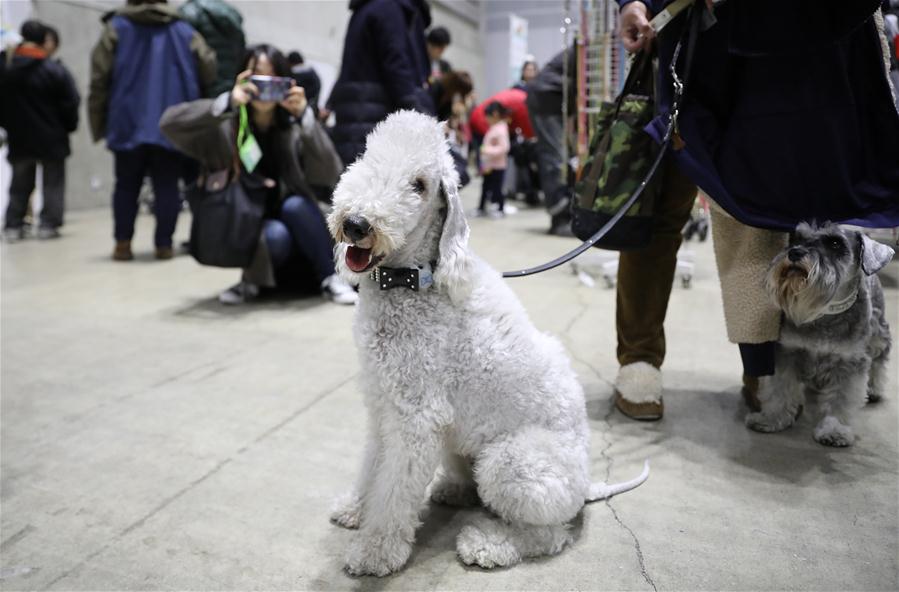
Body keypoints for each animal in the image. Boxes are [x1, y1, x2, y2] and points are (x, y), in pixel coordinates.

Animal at [326, 108, 652, 576]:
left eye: (419, 185)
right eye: (367, 155)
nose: (356, 224)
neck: (416, 281)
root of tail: (586, 485)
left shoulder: (416, 418)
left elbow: (393, 491)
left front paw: (375, 551)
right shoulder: (382, 403)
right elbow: (373, 465)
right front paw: (355, 509)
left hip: (510, 463)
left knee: (549, 535)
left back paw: (488, 544)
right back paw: (454, 490)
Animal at [748, 222, 896, 444]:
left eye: (835, 243)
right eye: (797, 238)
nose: (795, 253)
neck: (824, 312)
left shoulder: (849, 364)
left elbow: (841, 399)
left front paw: (834, 429)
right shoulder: (787, 353)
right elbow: (779, 389)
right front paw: (771, 418)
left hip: (879, 336)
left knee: (879, 361)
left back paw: (874, 389)